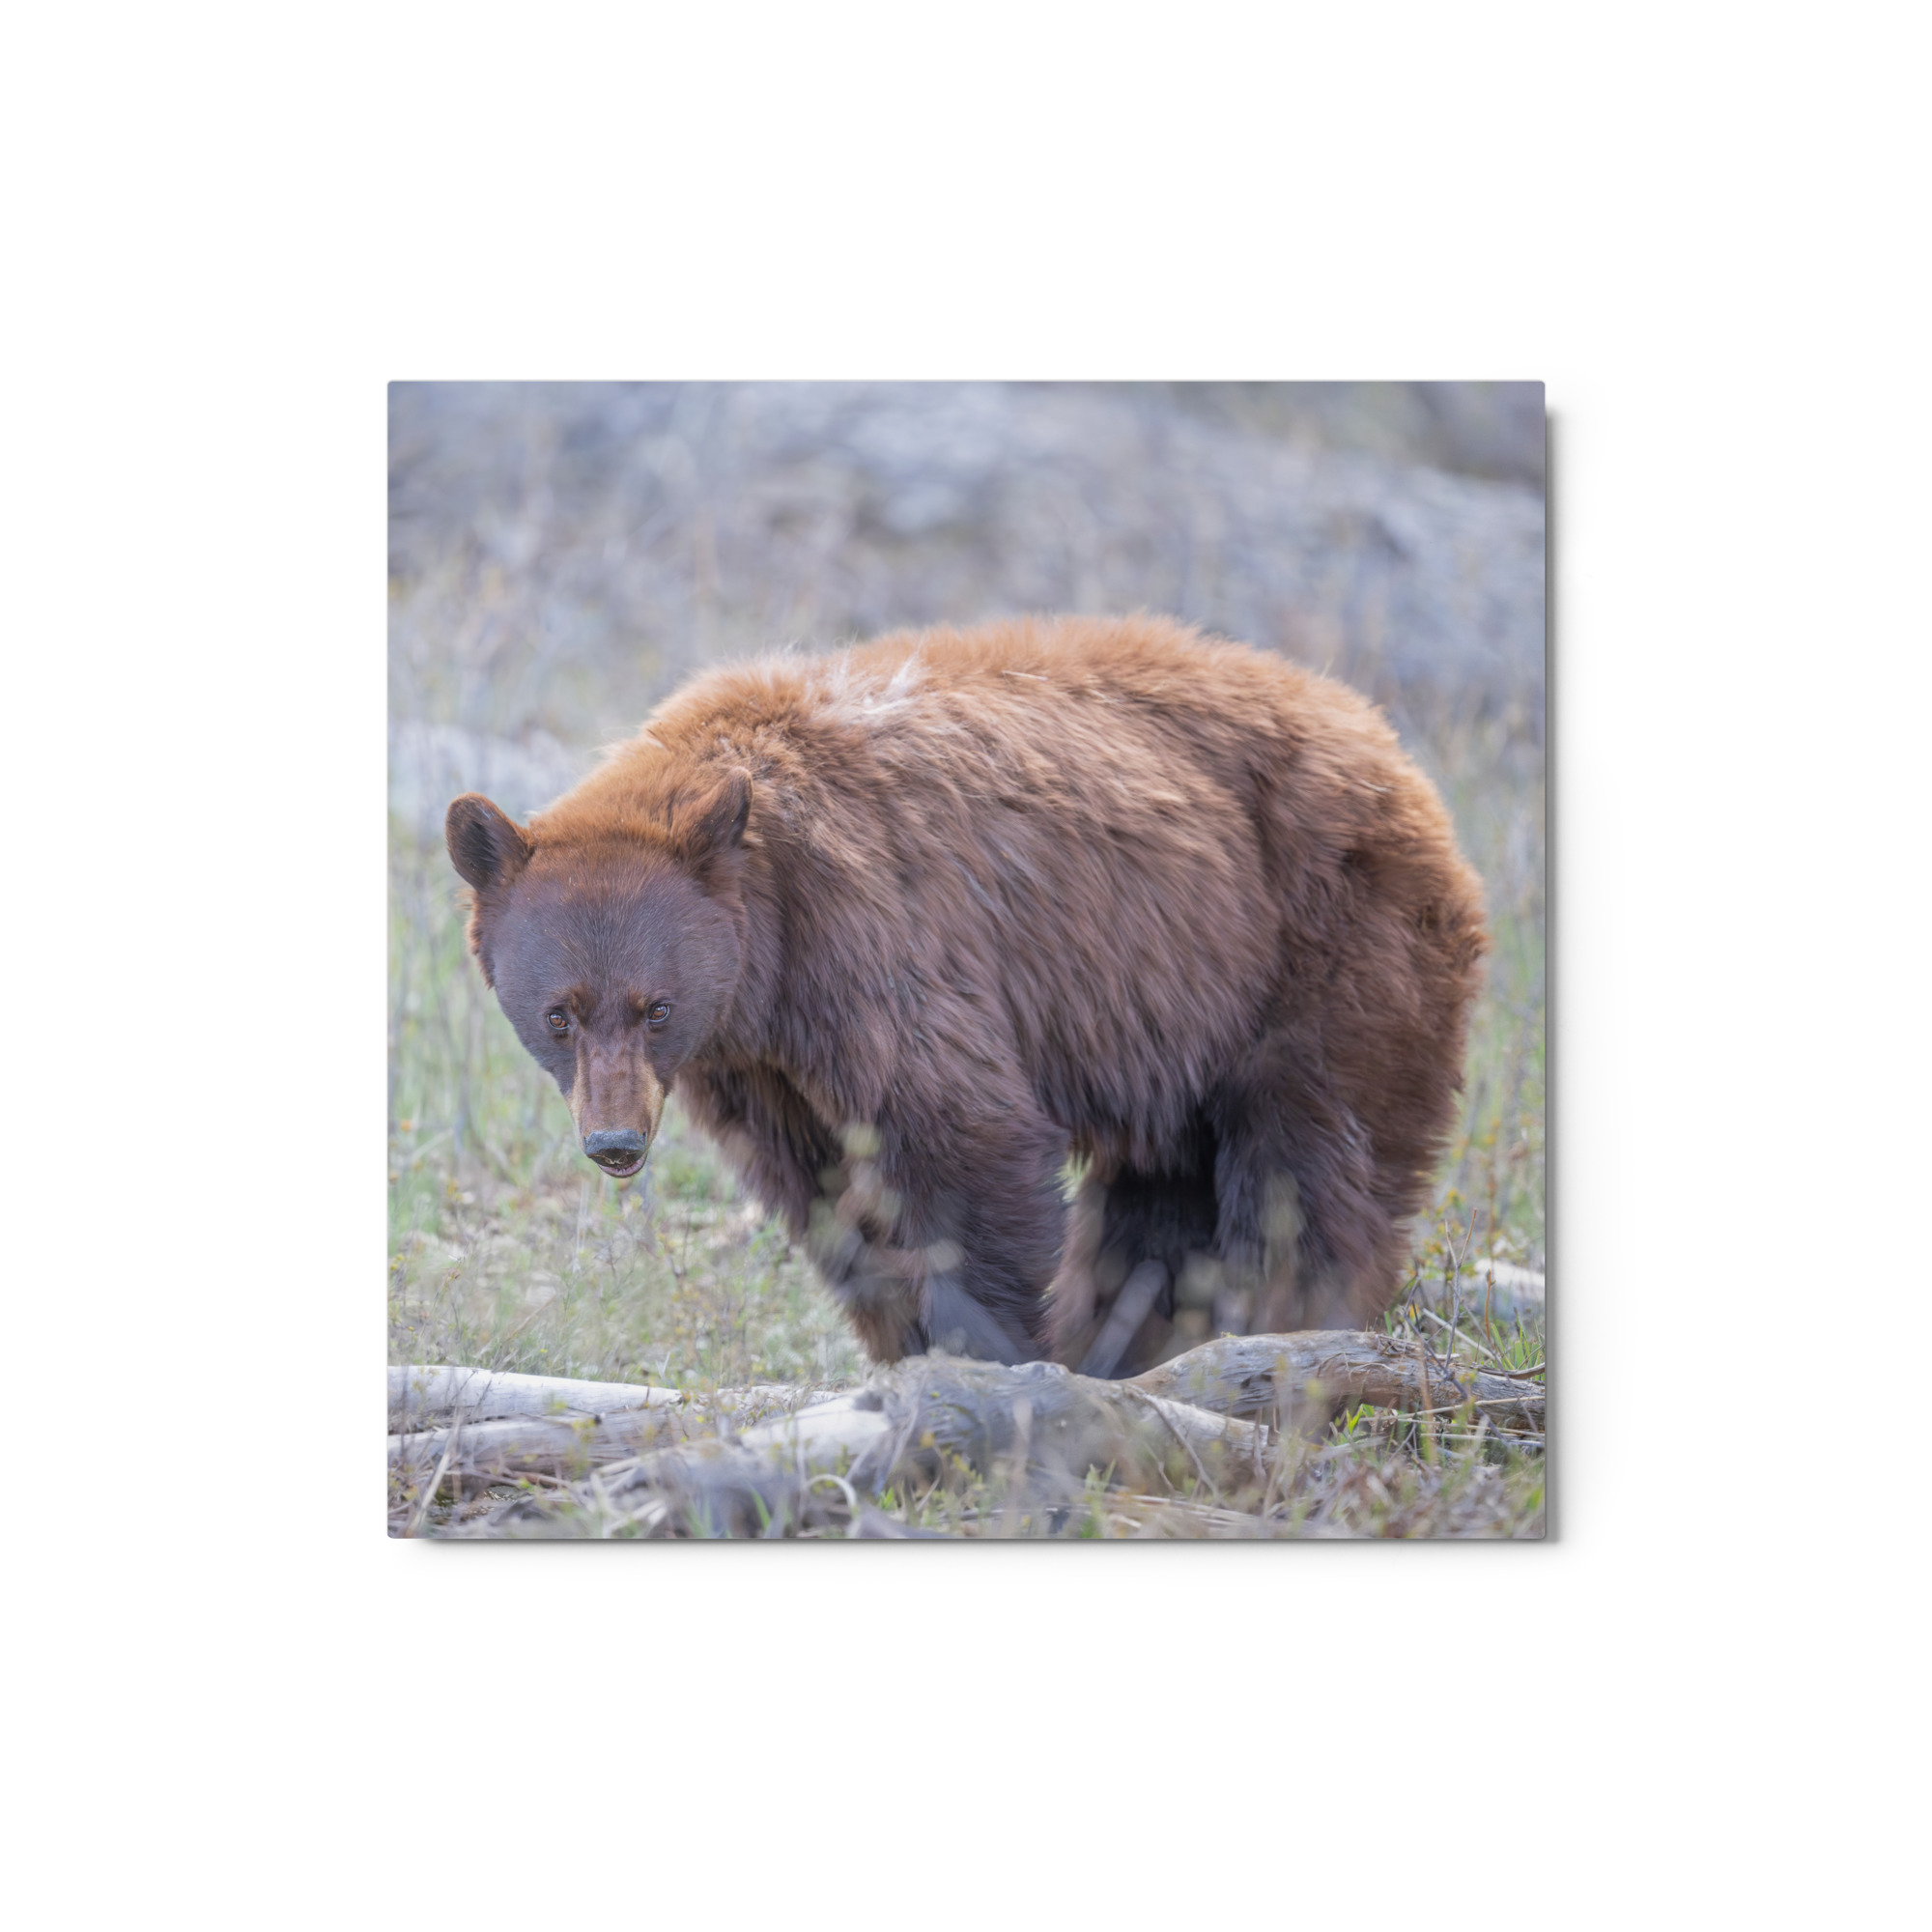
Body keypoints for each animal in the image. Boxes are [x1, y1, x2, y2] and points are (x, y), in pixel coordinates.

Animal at [445, 613, 1487, 1374]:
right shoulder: (758, 1063)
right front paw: (906, 1346)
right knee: (1162, 1192)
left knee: (1309, 1161)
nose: (615, 1143)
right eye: (559, 1014)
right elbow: (826, 1191)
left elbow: (960, 1139)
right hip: (1182, 1013)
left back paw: (1283, 1323)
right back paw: (1139, 1339)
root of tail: (1387, 743)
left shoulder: (875, 943)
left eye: (655, 1006)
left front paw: (990, 1353)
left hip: (1323, 942)